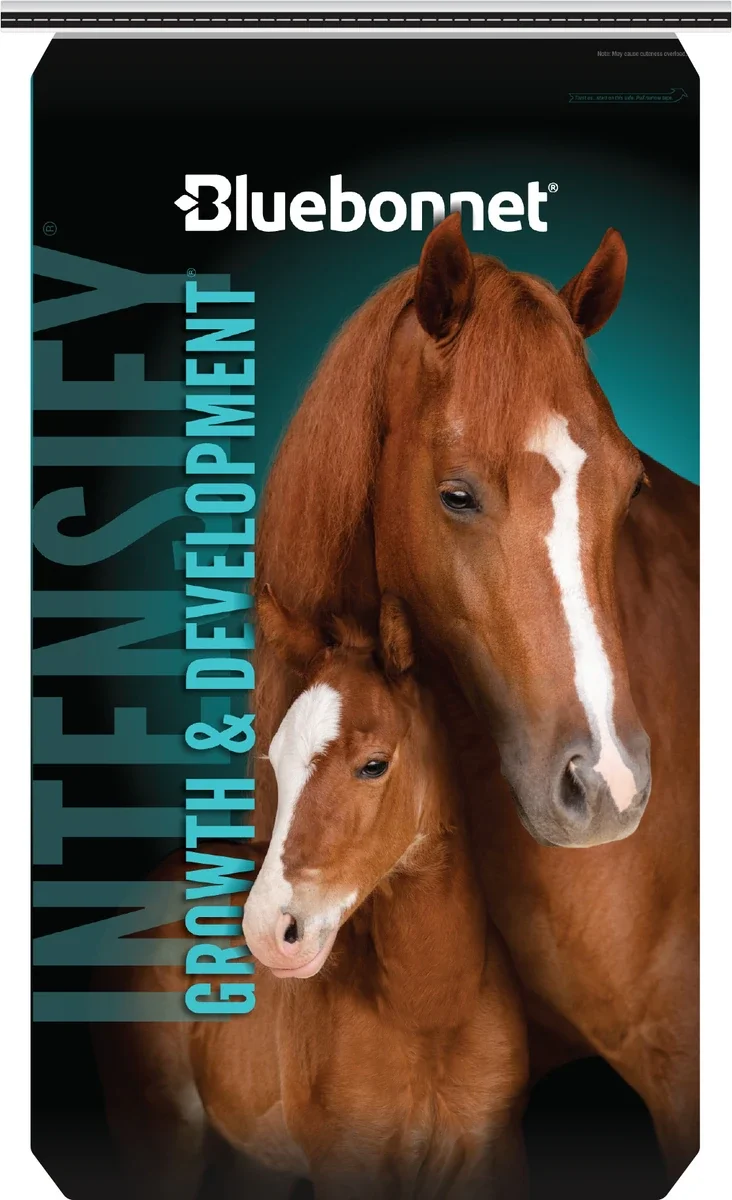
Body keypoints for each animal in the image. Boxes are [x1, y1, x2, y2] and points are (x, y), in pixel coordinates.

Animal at [95, 591, 529, 1200]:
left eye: (374, 765)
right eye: (275, 763)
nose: (265, 932)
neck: (430, 1012)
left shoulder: (493, 1156)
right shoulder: (348, 1165)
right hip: (154, 1134)